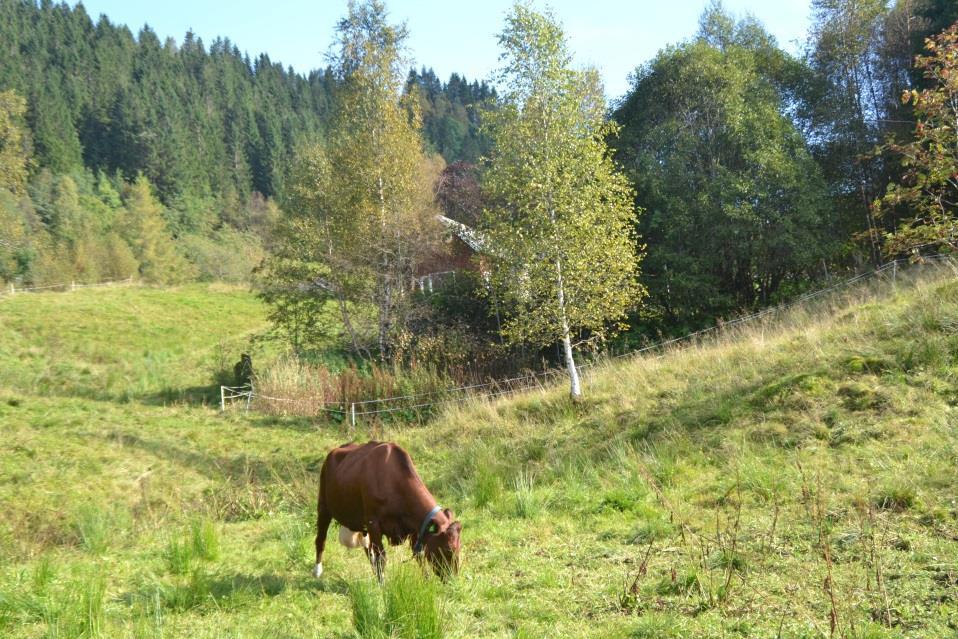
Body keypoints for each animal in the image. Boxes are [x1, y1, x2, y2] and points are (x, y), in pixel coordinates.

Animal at [314, 442, 464, 584]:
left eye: (459, 547)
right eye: (448, 549)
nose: (453, 579)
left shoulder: (414, 528)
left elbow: (419, 555)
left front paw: (426, 581)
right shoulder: (373, 522)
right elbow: (381, 557)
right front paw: (383, 586)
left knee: (368, 549)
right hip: (323, 506)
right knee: (321, 539)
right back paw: (317, 571)